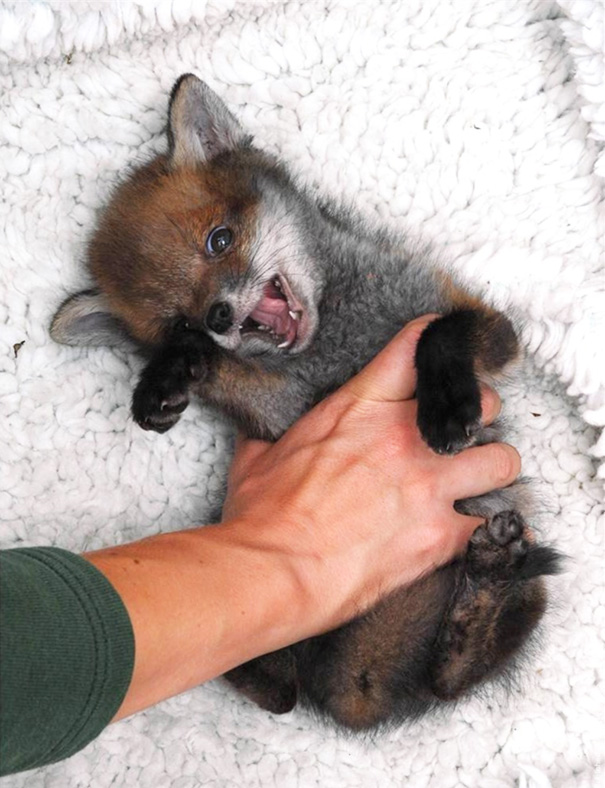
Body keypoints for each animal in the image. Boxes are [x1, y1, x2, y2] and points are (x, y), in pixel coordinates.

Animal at [50, 74, 562, 732]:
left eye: (219, 240)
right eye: (179, 320)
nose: (218, 317)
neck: (333, 336)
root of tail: (349, 688)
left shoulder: (484, 328)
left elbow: (438, 335)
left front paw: (446, 407)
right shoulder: (283, 410)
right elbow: (225, 374)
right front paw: (166, 380)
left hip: (515, 596)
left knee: (428, 680)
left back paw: (484, 586)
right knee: (291, 688)